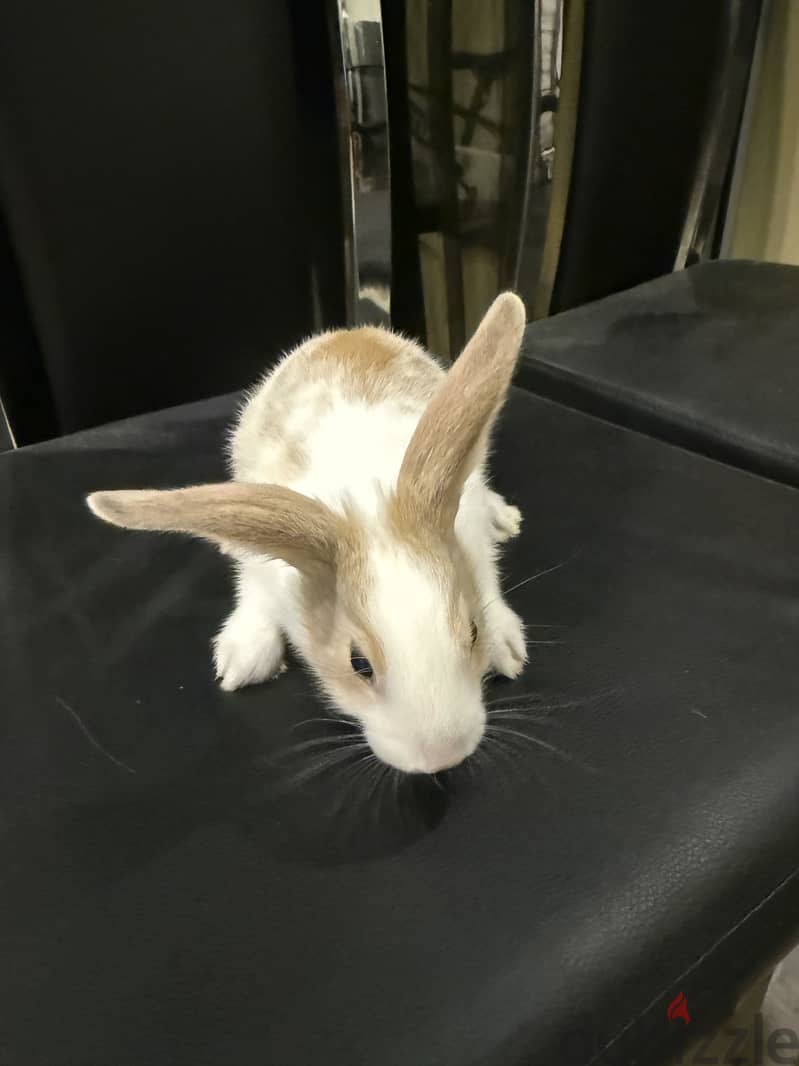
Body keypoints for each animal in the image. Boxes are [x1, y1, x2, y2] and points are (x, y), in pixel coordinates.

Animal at [87, 292, 528, 774]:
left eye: (472, 631)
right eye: (358, 664)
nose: (443, 757)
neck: (362, 498)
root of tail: (352, 333)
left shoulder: (468, 533)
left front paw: (506, 645)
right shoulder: (263, 559)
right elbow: (253, 591)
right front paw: (243, 658)